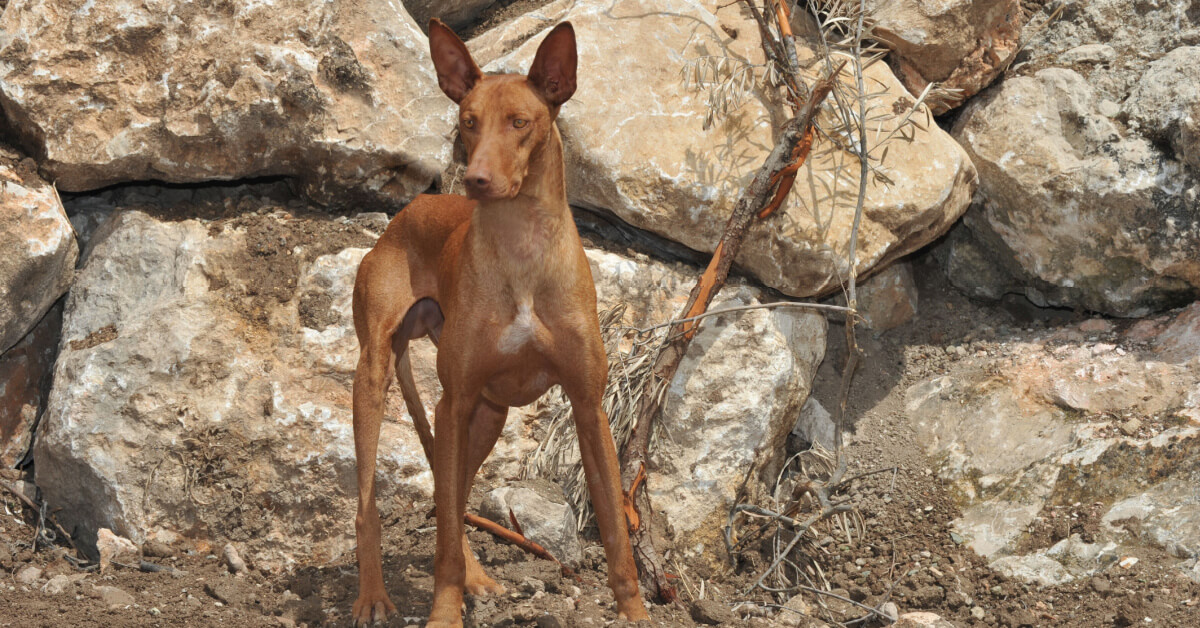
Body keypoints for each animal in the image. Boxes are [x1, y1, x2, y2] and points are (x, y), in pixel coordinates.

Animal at [350, 19, 648, 628]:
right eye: (468, 121)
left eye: (520, 122)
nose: (476, 180)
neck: (522, 248)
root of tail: (408, 212)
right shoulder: (454, 400)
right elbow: (440, 536)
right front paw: (444, 613)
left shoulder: (589, 407)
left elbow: (615, 529)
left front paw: (635, 612)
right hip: (376, 380)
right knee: (376, 507)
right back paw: (373, 596)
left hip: (487, 417)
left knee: (451, 496)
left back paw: (477, 577)